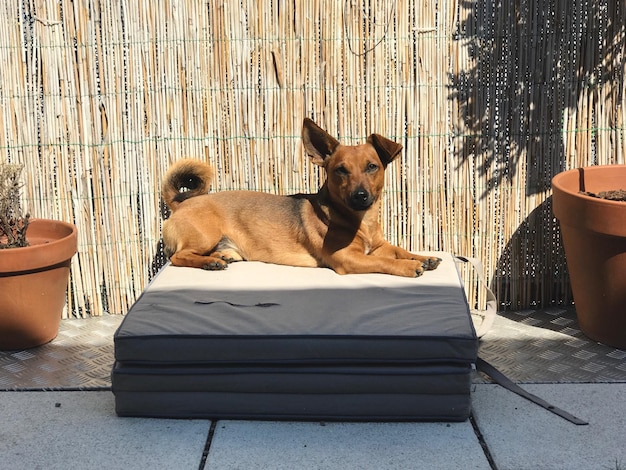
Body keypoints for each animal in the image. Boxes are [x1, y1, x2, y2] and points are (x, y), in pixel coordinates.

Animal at [163, 117, 442, 278]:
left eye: (372, 167)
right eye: (340, 170)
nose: (360, 196)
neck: (362, 221)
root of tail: (180, 203)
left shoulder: (378, 246)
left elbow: (398, 249)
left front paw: (422, 257)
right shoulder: (348, 259)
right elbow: (384, 262)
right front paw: (408, 267)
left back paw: (218, 258)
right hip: (204, 236)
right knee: (177, 257)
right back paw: (210, 263)